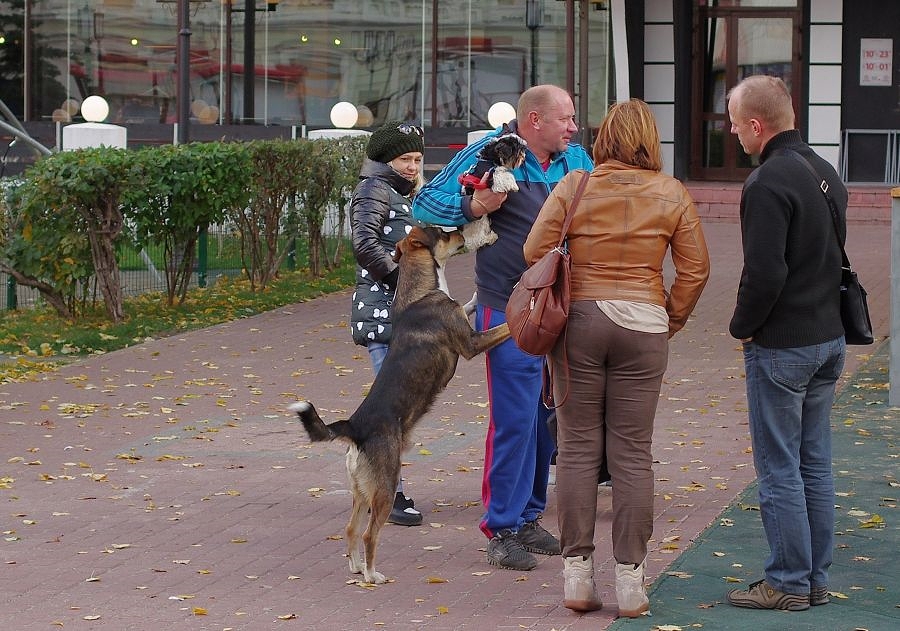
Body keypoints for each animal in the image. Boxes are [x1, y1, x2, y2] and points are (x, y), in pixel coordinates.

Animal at [290, 225, 510, 584]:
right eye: (444, 233)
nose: (462, 231)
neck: (418, 294)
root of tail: (355, 427)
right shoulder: (472, 344)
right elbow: (506, 327)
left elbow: (470, 305)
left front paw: (480, 298)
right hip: (385, 487)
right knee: (369, 534)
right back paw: (372, 575)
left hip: (361, 491)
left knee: (350, 529)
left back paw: (356, 567)